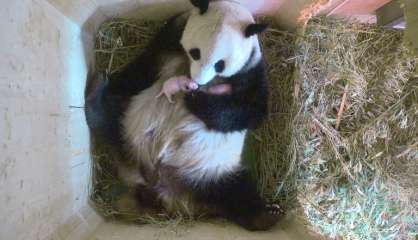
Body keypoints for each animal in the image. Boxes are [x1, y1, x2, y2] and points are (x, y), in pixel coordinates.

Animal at [84, 0, 280, 231]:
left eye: (220, 64)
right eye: (196, 52)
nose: (197, 81)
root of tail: (160, 188)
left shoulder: (251, 72)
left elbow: (249, 110)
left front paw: (195, 99)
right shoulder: (170, 39)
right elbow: (143, 66)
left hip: (212, 172)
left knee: (238, 194)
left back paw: (266, 214)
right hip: (130, 128)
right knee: (112, 117)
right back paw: (97, 96)